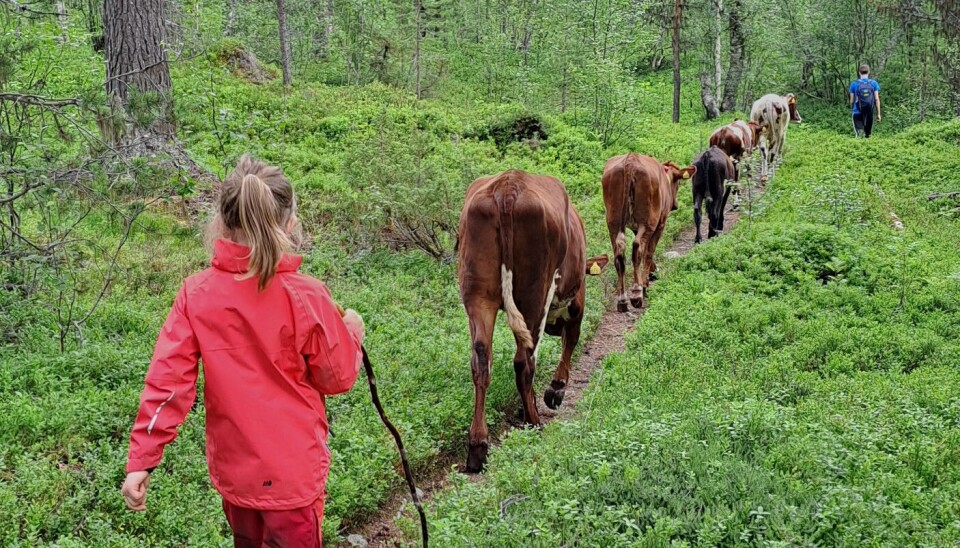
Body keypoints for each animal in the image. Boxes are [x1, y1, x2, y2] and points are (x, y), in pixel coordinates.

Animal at [458, 170, 608, 470]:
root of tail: (506, 187)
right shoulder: (577, 301)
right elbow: (571, 341)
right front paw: (555, 391)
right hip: (534, 294)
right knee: (524, 360)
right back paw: (533, 422)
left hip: (477, 295)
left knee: (481, 360)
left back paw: (478, 444)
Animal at [604, 154, 692, 312]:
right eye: (678, 183)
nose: (675, 205)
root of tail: (631, 159)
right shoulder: (660, 223)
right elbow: (649, 252)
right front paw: (646, 282)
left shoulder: (635, 227)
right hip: (648, 221)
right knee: (638, 248)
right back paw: (638, 292)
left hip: (613, 222)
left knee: (619, 253)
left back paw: (622, 299)